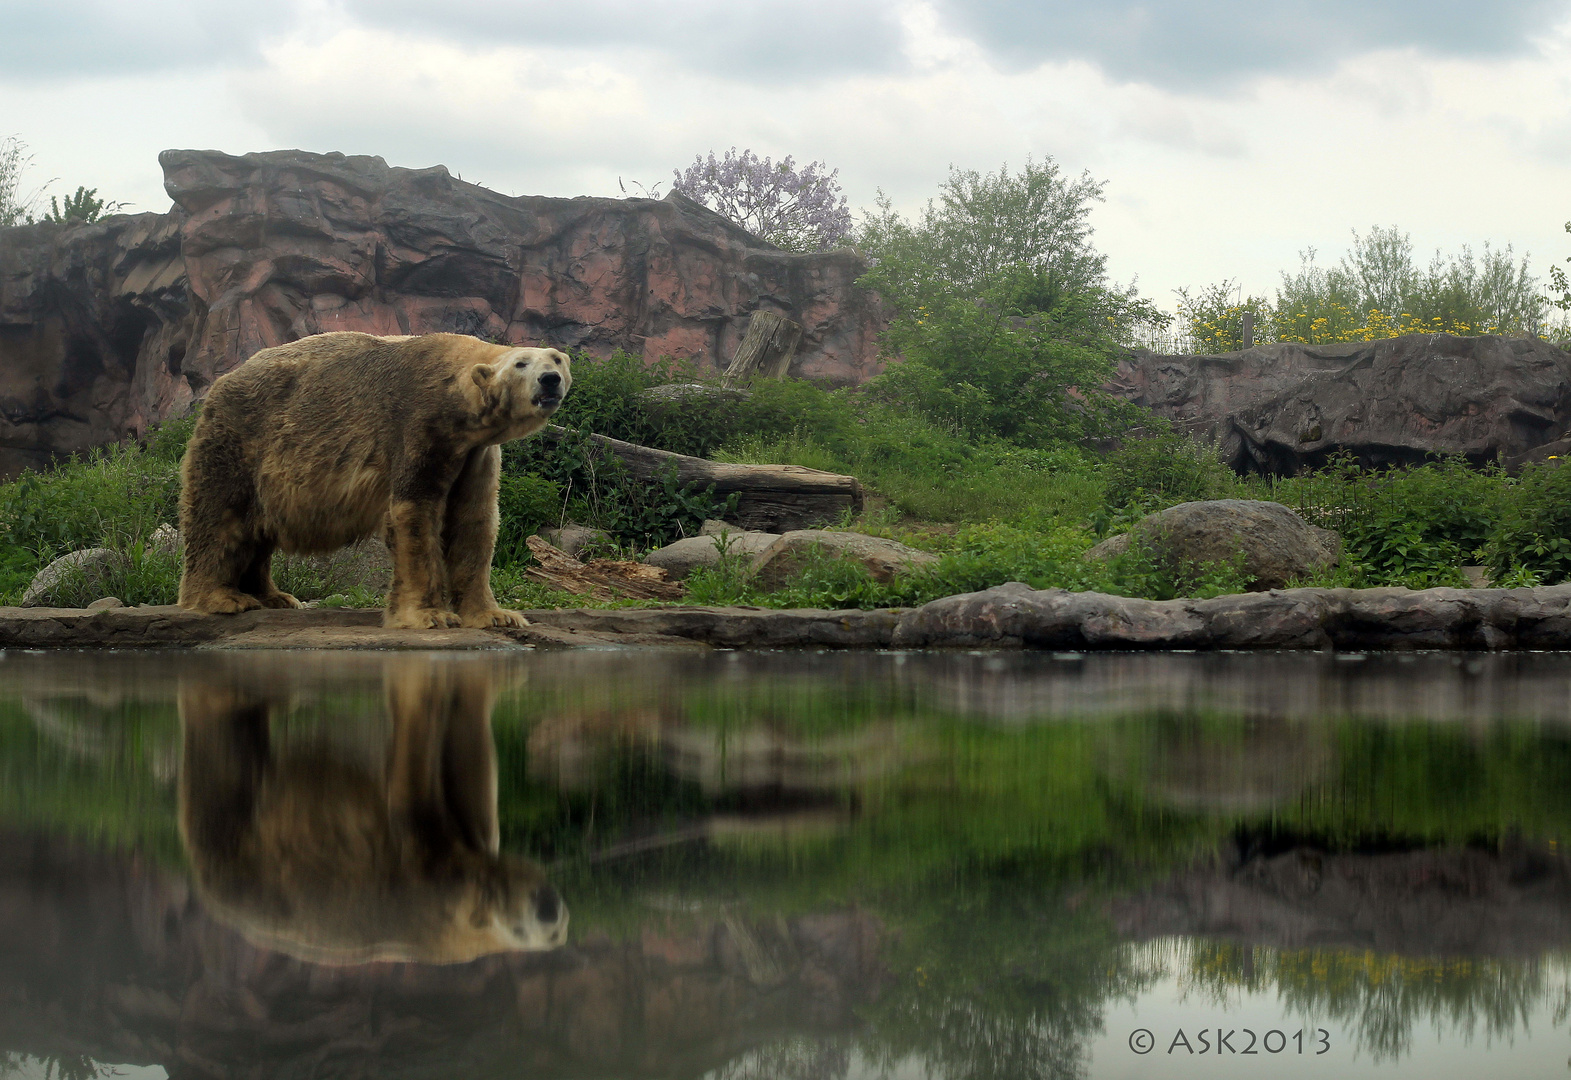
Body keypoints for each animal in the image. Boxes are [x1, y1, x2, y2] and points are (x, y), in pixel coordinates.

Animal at [179, 333, 571, 628]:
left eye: (556, 358)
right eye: (521, 363)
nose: (549, 379)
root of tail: (219, 385)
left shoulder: (476, 452)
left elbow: (474, 520)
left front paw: (496, 615)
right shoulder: (420, 426)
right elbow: (415, 510)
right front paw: (431, 616)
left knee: (259, 530)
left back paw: (274, 597)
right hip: (240, 440)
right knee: (221, 517)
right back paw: (223, 598)